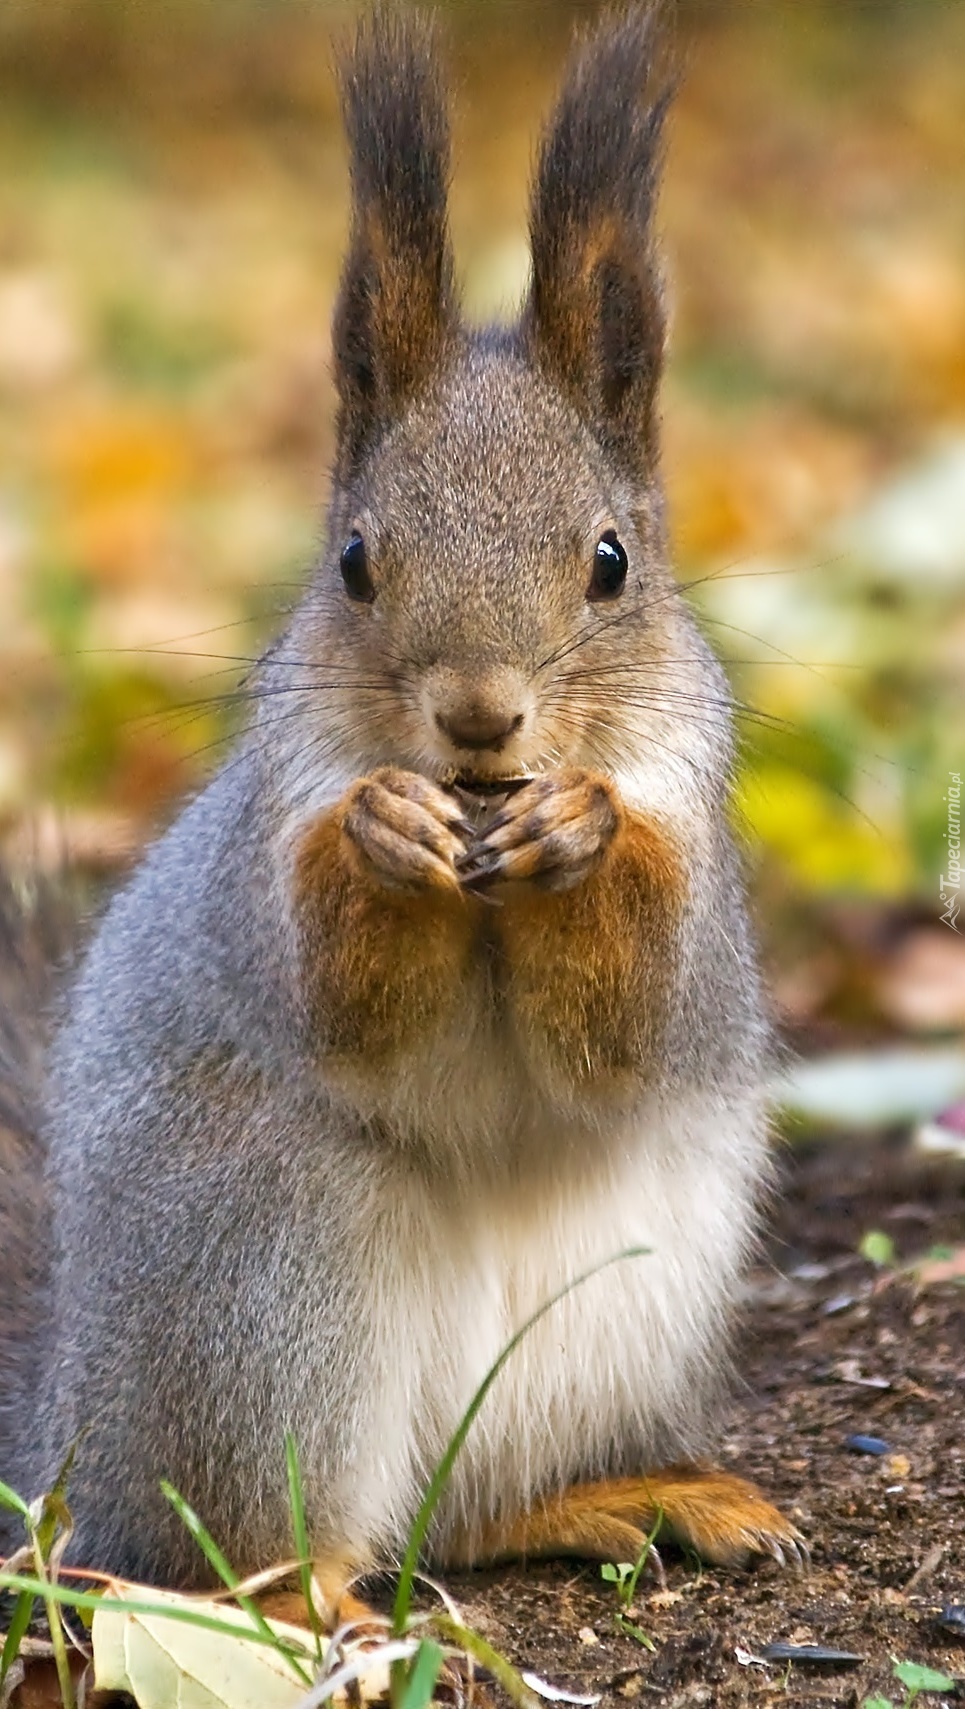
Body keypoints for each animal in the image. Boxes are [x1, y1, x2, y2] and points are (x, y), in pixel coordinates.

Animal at [0, 3, 806, 1613]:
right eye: (357, 561)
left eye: (610, 561)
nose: (480, 718)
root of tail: (67, 1433)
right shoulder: (267, 849)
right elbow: (333, 996)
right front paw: (384, 840)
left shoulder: (695, 855)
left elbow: (634, 1026)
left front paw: (579, 833)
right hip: (264, 1275)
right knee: (269, 1548)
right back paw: (308, 1598)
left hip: (614, 1312)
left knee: (458, 1519)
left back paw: (626, 1497)